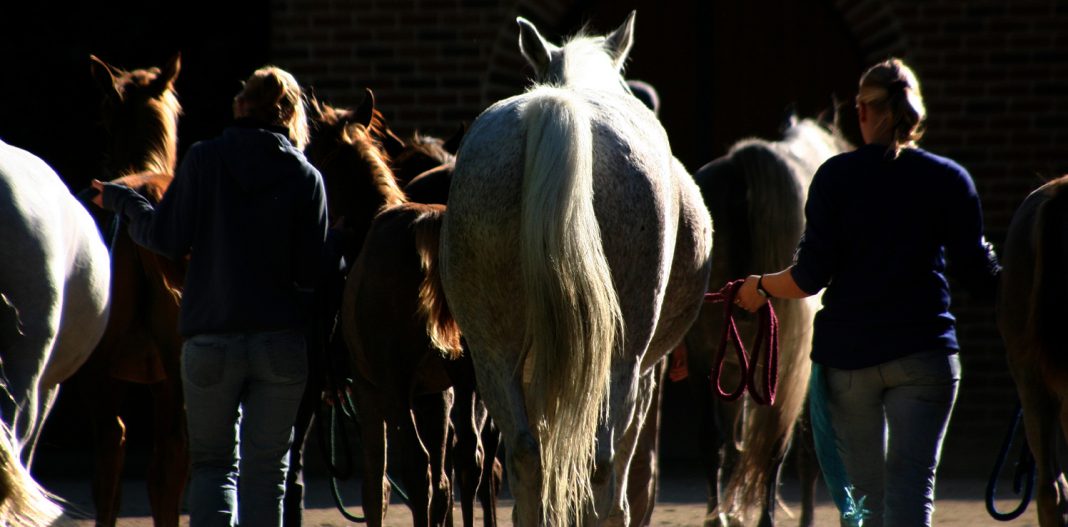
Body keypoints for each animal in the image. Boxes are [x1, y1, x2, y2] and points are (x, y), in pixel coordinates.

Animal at [437, 13, 713, 525]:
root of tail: (559, 108)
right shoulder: (643, 376)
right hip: (620, 360)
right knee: (601, 462)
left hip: (492, 355)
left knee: (526, 453)